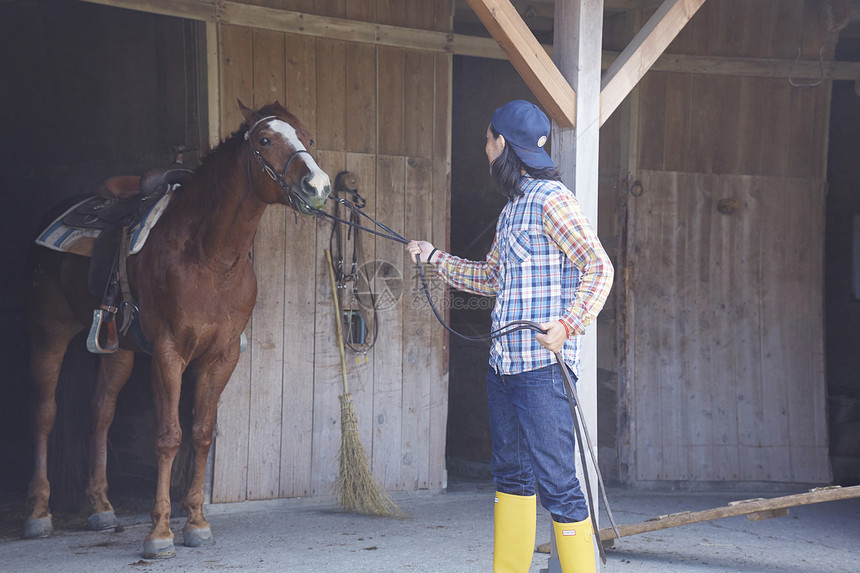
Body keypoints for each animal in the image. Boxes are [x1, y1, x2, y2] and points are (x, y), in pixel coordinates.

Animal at [24, 100, 330, 556]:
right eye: (264, 139)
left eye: (308, 137)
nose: (318, 185)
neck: (209, 257)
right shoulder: (170, 353)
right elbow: (169, 436)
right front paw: (160, 533)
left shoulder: (221, 357)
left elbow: (201, 434)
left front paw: (197, 524)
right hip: (51, 332)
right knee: (45, 414)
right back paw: (39, 514)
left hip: (118, 351)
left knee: (101, 413)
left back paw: (101, 508)